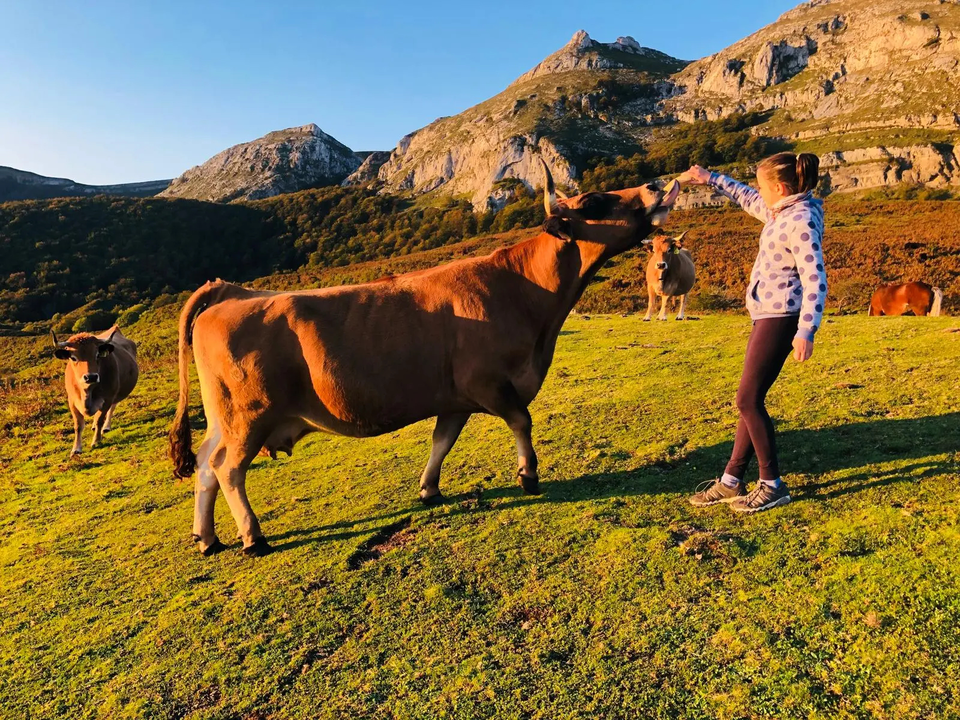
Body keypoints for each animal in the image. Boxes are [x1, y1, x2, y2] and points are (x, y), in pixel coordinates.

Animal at [53, 326, 139, 455]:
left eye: (97, 355)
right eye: (73, 357)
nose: (91, 377)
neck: (87, 393)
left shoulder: (107, 398)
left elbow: (100, 419)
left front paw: (96, 441)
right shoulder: (72, 401)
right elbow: (78, 425)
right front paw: (76, 448)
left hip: (115, 394)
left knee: (112, 408)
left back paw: (106, 427)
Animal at [169, 162, 681, 557]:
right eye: (594, 202)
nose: (657, 186)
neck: (526, 296)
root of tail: (231, 293)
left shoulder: (455, 397)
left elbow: (442, 441)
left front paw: (428, 489)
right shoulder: (488, 382)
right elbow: (522, 420)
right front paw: (528, 474)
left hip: (223, 418)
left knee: (204, 466)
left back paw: (206, 538)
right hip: (249, 416)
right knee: (228, 469)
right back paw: (252, 537)